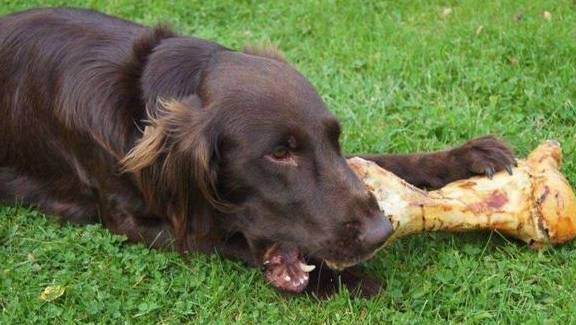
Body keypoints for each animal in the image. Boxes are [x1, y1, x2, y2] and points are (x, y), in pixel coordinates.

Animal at [0, 8, 516, 296]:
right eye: (279, 154)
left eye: (334, 139)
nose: (378, 233)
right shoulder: (132, 218)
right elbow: (219, 235)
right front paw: (342, 281)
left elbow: (373, 162)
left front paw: (469, 155)